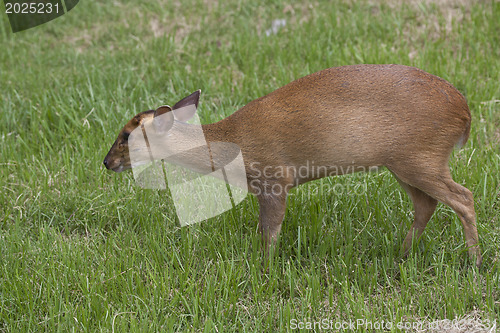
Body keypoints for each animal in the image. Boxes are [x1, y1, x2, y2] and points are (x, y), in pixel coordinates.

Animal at [103, 64, 482, 268]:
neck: (232, 145)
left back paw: (474, 262)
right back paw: (400, 256)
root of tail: (464, 113)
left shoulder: (274, 177)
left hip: (421, 155)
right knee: (427, 204)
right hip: (403, 161)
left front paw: (264, 271)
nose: (107, 162)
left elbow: (270, 231)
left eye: (126, 135)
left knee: (463, 197)